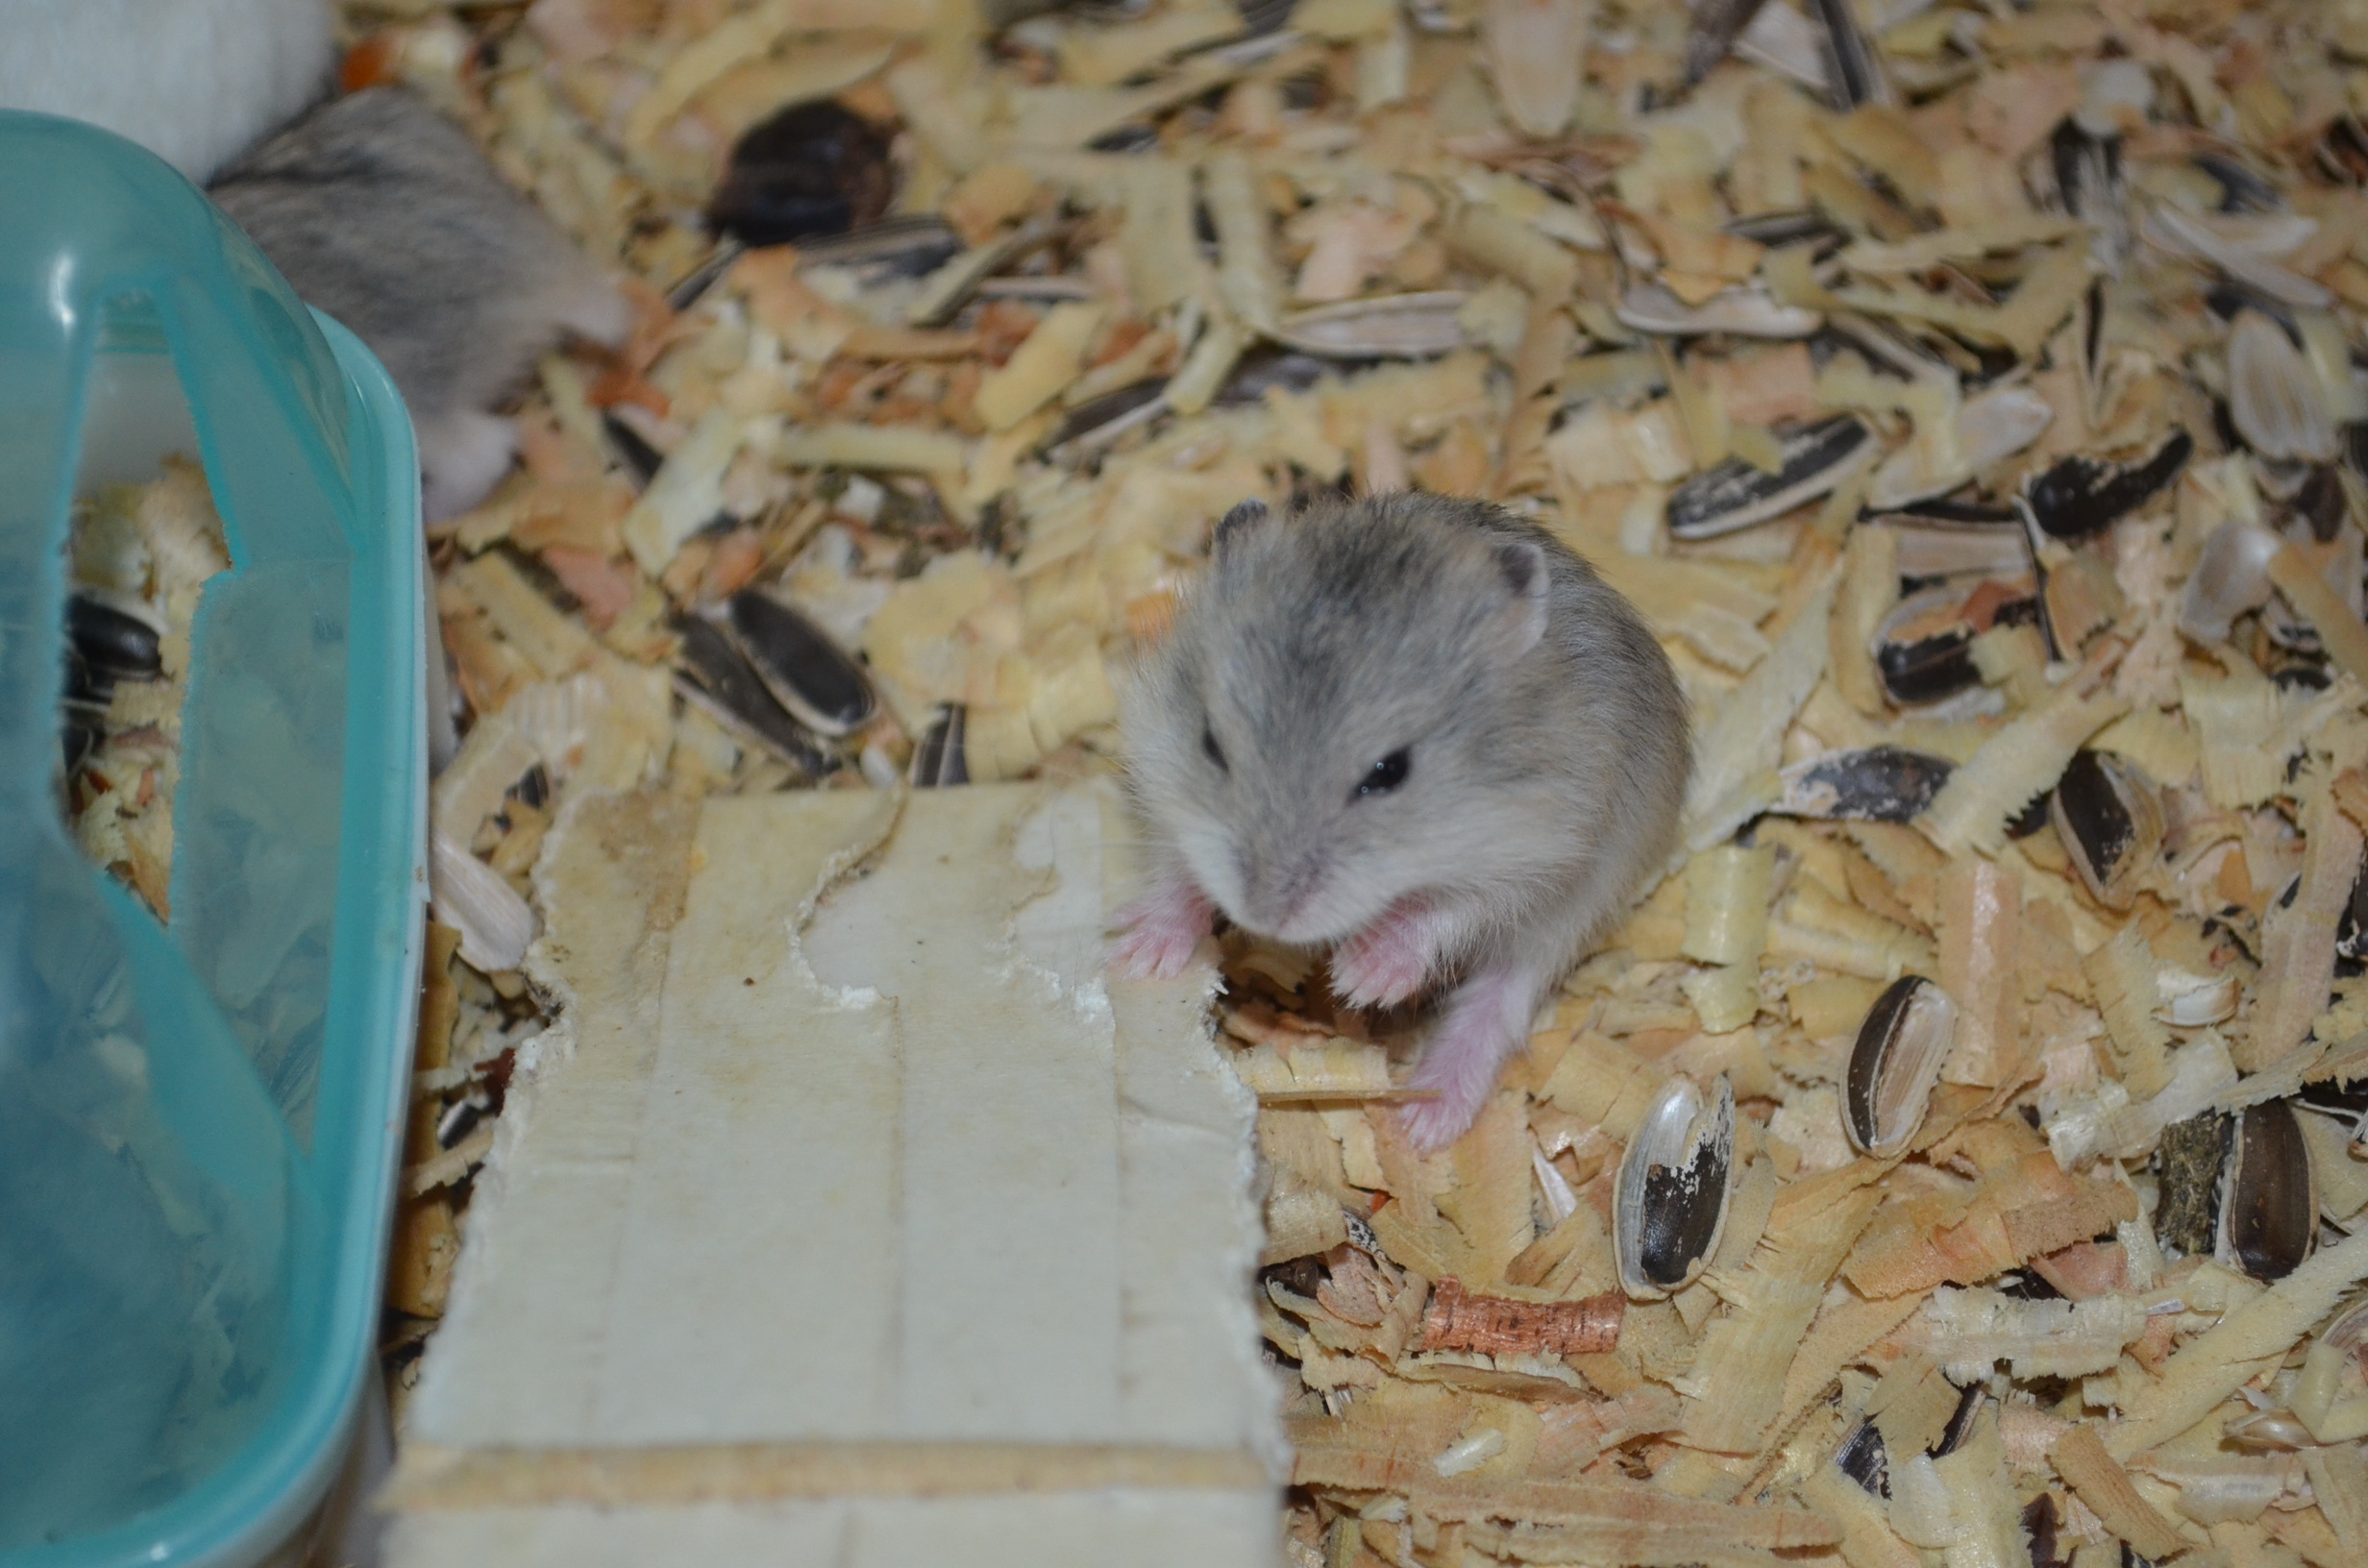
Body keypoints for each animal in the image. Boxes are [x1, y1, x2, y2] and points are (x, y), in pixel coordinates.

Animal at [1118, 495, 1695, 1156]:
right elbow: (1180, 865)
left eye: (1389, 771)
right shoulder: (1164, 766)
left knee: (1499, 999)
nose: (1263, 917)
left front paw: (1359, 978)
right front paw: (1132, 957)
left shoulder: (1540, 850)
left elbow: (1442, 910)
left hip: (1574, 913)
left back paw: (1423, 1123)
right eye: (1211, 743)